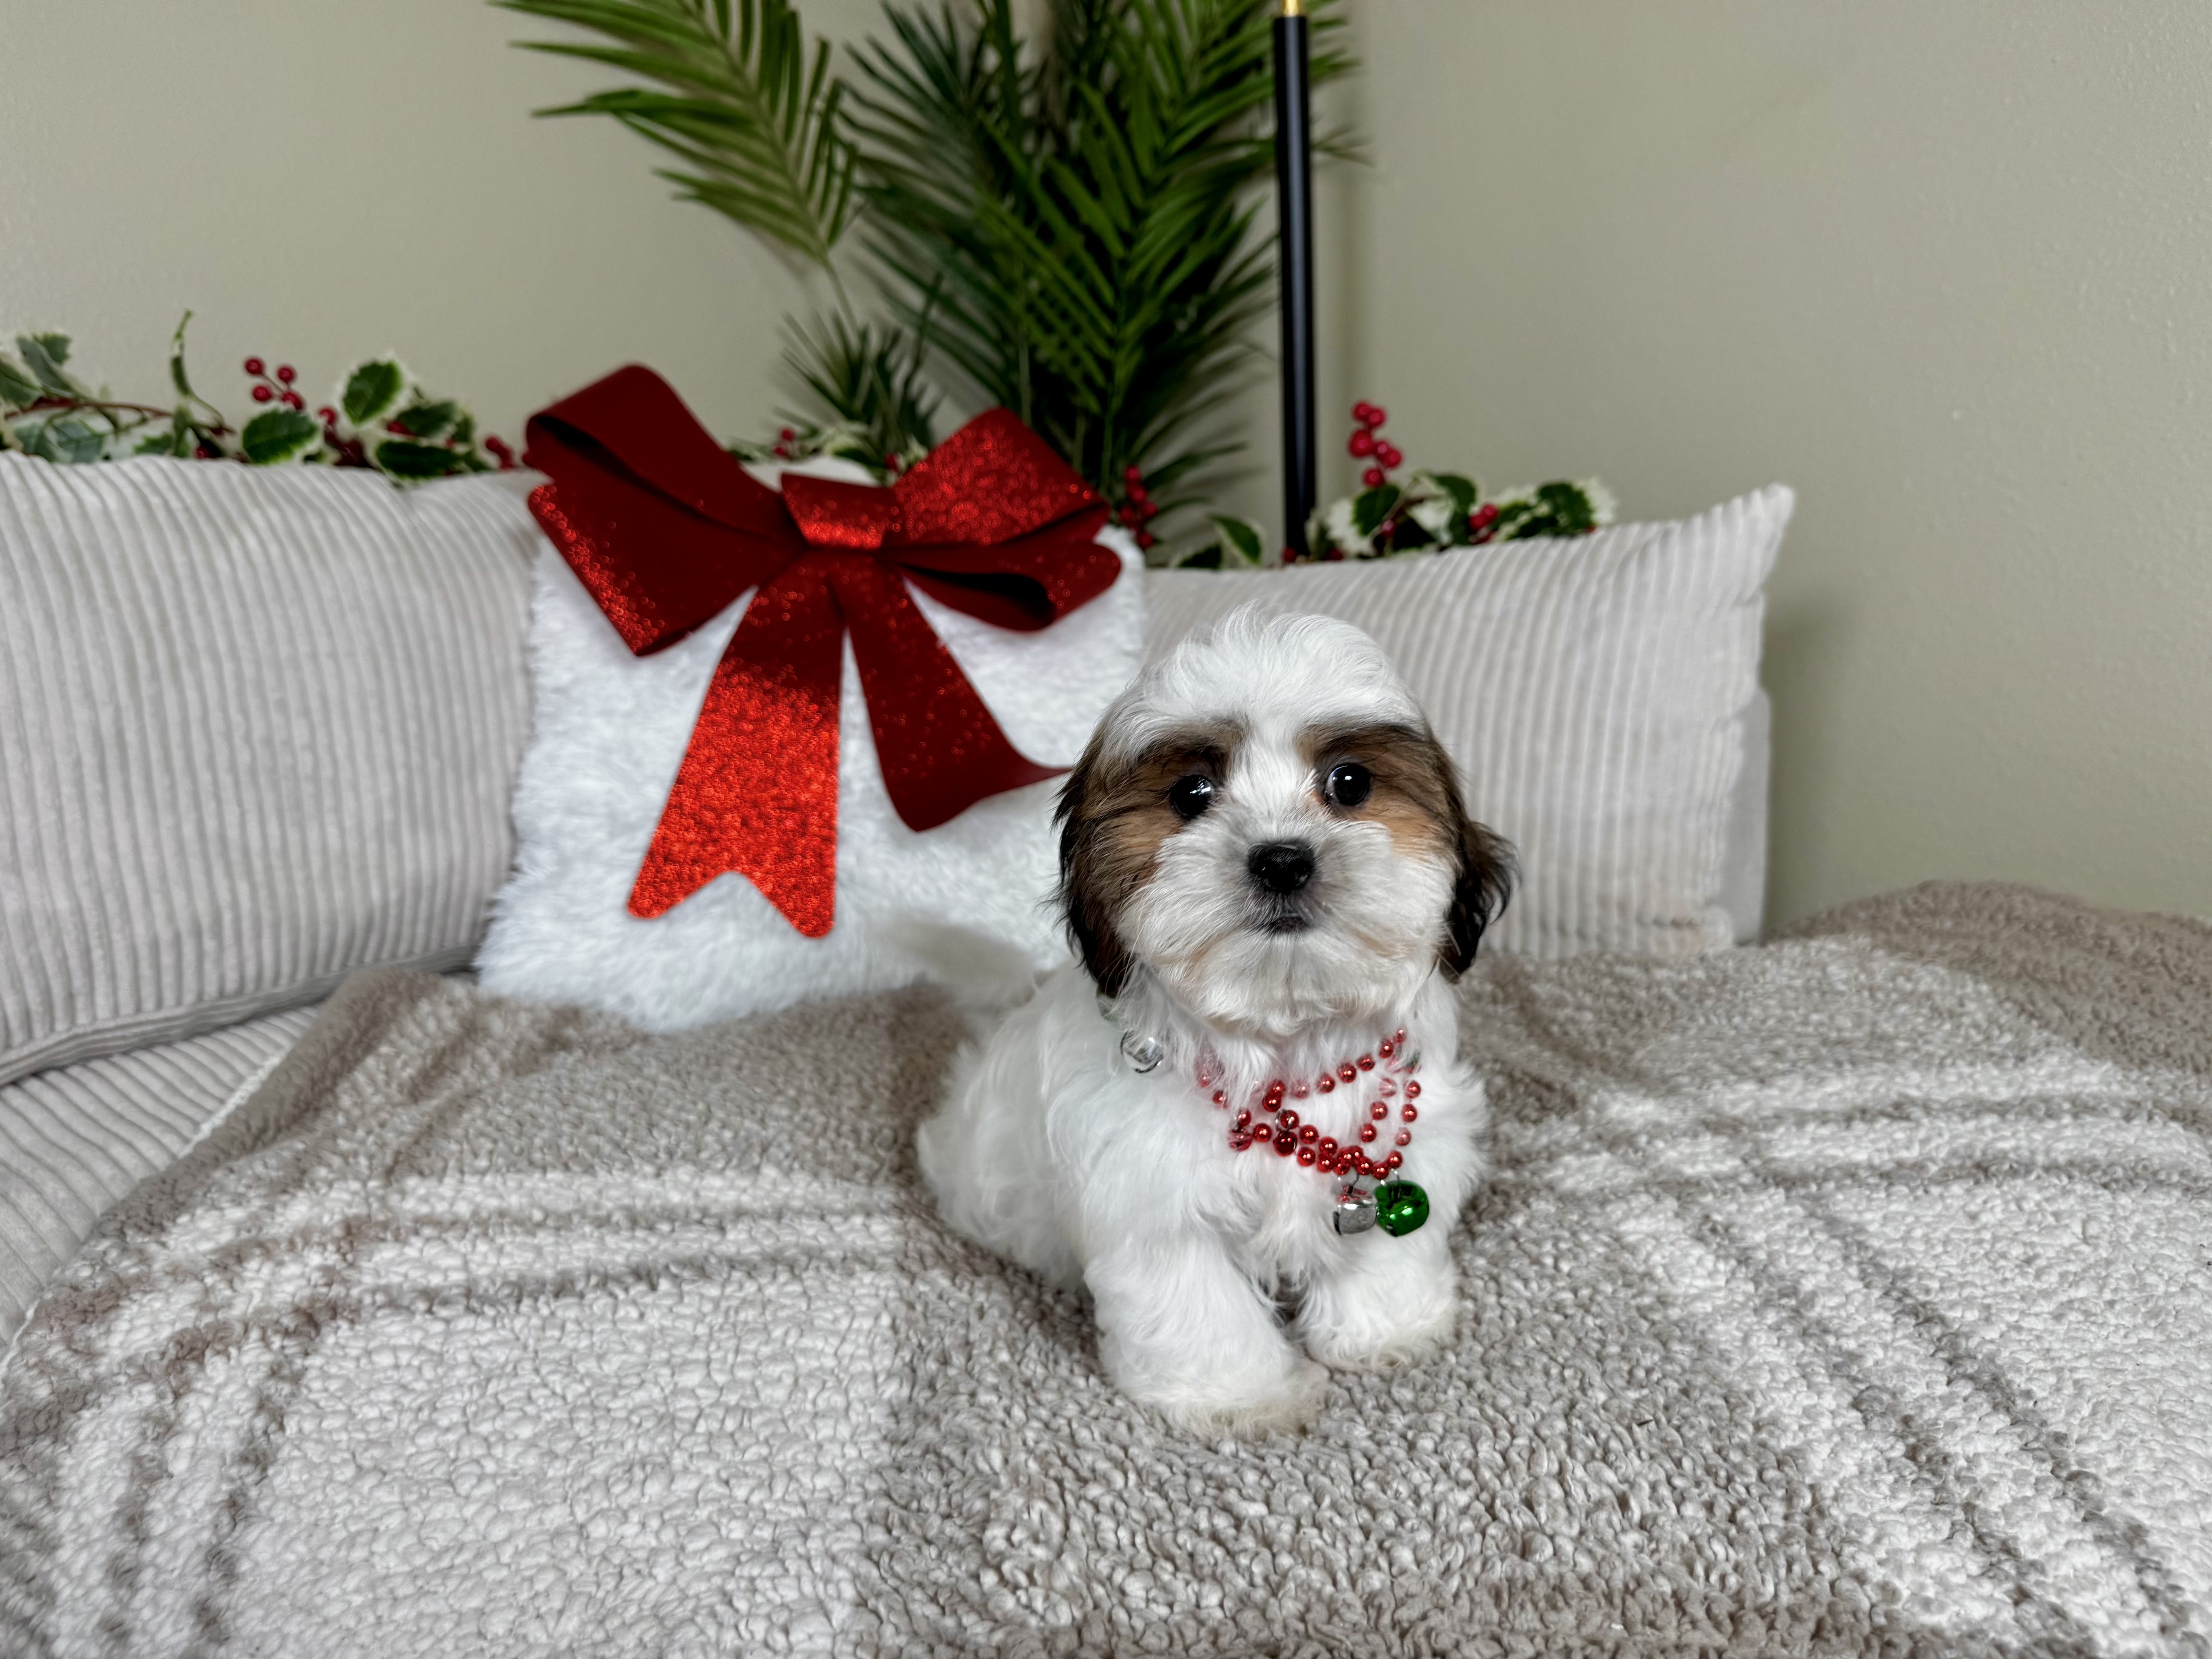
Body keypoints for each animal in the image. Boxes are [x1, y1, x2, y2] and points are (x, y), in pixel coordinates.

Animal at [917, 609, 1513, 1435]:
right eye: (1191, 792)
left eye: (1350, 782)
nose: (1282, 859)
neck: (1282, 1045)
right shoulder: (1151, 1200)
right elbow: (1199, 1307)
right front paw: (1238, 1393)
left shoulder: (1413, 1150)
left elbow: (1387, 1249)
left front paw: (1384, 1329)